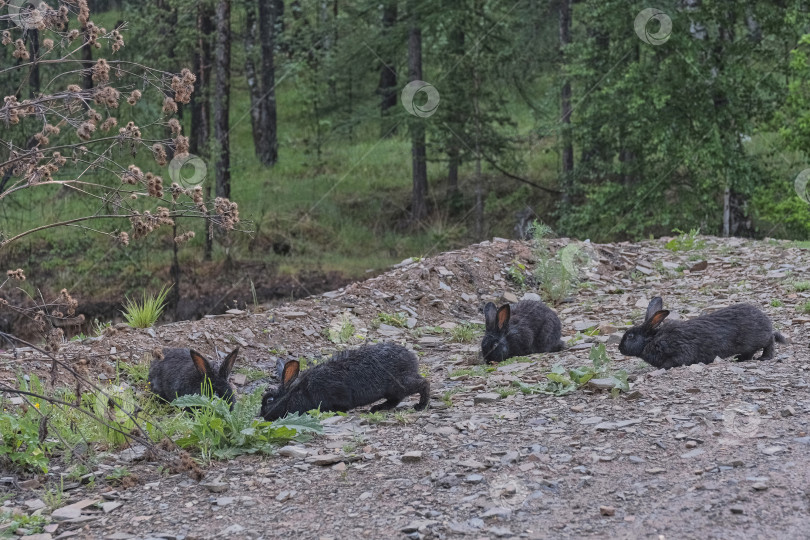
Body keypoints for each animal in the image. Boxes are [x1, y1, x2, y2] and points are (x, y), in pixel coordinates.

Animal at [262, 342, 432, 422]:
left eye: (269, 400)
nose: (262, 416)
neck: (295, 392)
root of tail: (411, 358)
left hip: (398, 383)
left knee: (423, 383)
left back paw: (421, 405)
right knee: (395, 400)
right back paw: (377, 408)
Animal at [620, 298, 784, 370]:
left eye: (630, 336)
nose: (619, 349)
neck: (651, 340)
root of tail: (765, 320)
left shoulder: (679, 349)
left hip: (758, 339)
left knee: (769, 341)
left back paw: (765, 357)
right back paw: (739, 359)